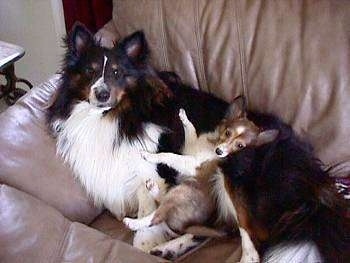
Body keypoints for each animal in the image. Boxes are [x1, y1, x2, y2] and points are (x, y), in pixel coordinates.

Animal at [46, 23, 230, 253]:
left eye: (117, 72)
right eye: (90, 70)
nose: (102, 94)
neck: (112, 116)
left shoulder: (150, 172)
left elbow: (146, 229)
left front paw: (144, 245)